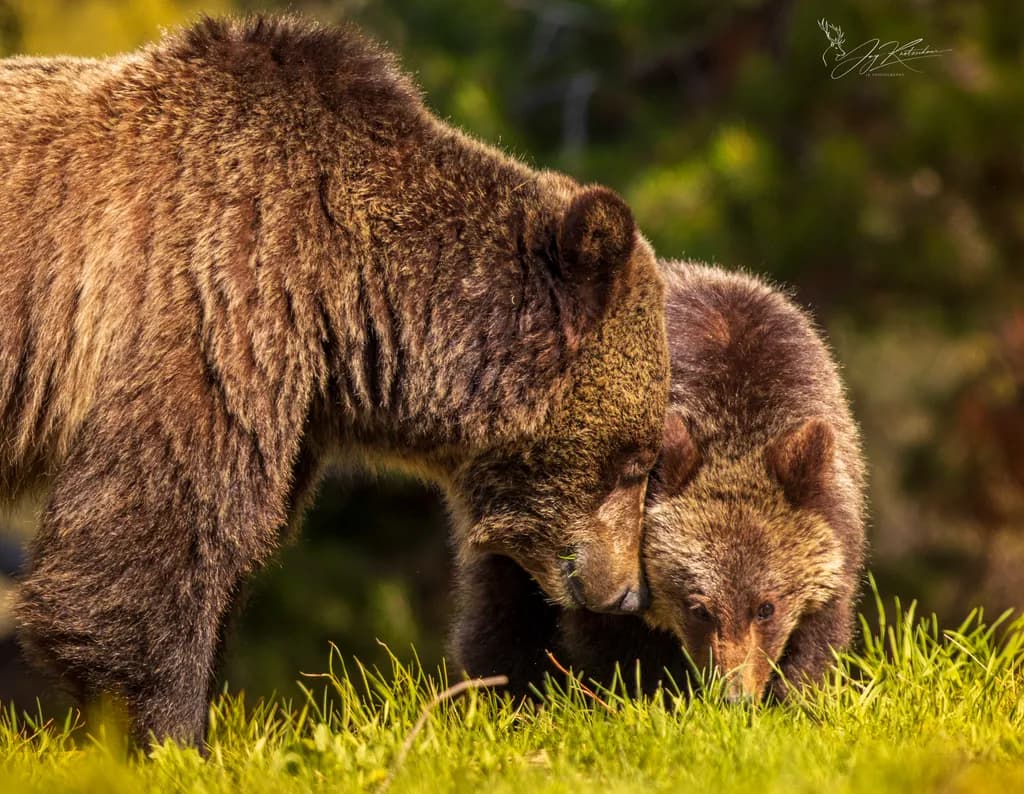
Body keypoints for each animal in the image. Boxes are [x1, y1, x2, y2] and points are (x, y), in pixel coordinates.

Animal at [1, 15, 669, 747]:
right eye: (635, 459)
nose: (626, 590)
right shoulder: (212, 307)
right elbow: (149, 542)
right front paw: (169, 736)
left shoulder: (294, 406)